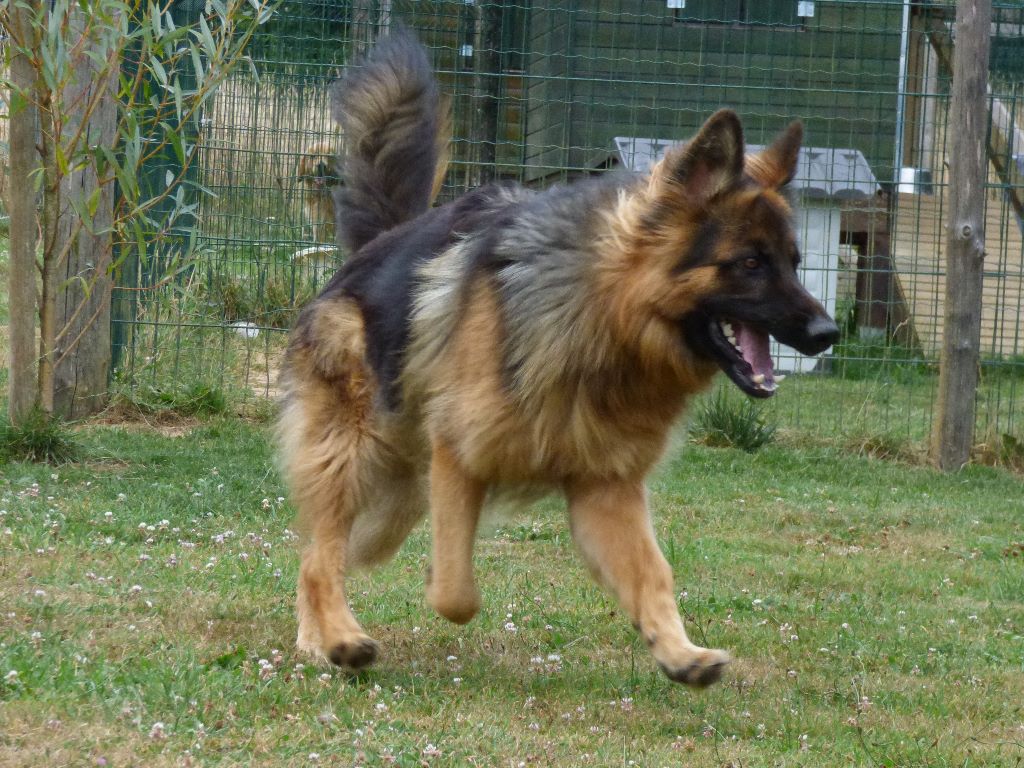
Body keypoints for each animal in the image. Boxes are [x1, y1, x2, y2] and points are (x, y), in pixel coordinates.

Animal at [278, 31, 839, 692]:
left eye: (795, 262)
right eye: (750, 263)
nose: (829, 332)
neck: (602, 320)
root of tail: (373, 251)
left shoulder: (605, 487)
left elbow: (653, 574)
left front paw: (678, 651)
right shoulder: (459, 456)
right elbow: (455, 593)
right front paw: (431, 591)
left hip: (396, 498)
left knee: (324, 551)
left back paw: (317, 637)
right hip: (356, 454)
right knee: (322, 554)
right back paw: (337, 640)